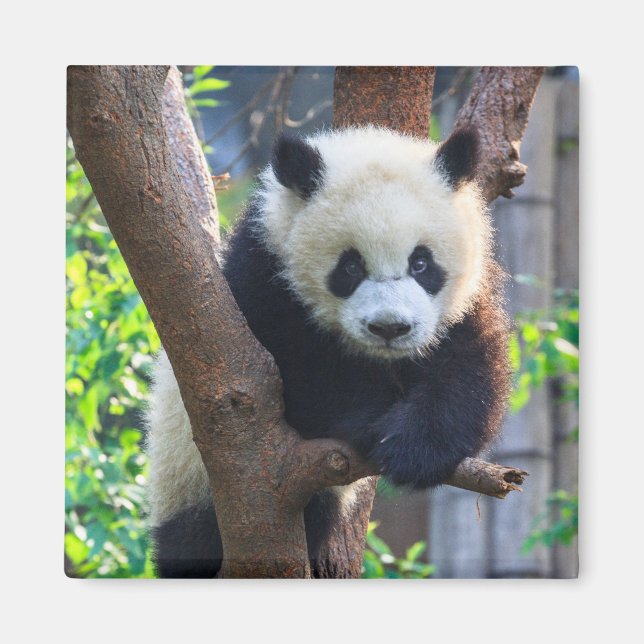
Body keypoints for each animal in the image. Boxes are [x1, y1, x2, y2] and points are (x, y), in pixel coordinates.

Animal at [144, 126, 511, 578]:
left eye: (421, 263)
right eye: (350, 267)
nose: (390, 327)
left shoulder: (465, 300)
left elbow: (468, 369)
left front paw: (414, 448)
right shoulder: (260, 280)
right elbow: (296, 377)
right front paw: (373, 422)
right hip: (188, 479)